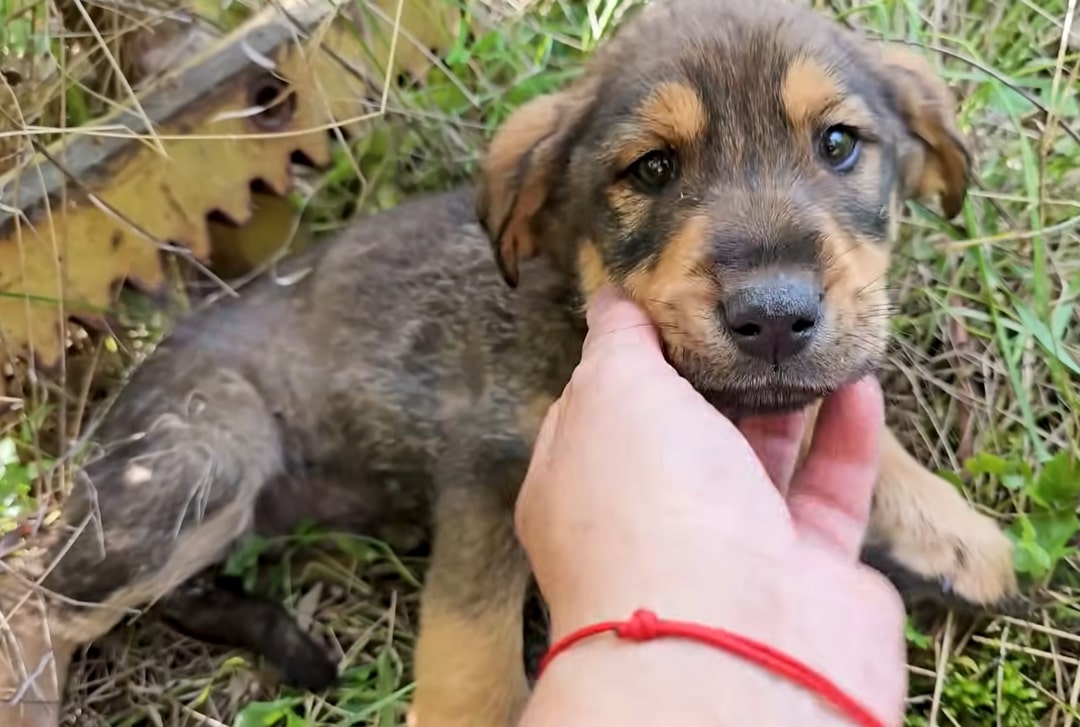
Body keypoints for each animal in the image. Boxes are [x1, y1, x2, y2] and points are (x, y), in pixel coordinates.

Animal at [0, 1, 1015, 725]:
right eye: (651, 169)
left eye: (839, 144)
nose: (773, 319)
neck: (571, 304)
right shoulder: (484, 465)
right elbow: (472, 629)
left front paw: (949, 526)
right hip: (204, 456)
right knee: (31, 590)